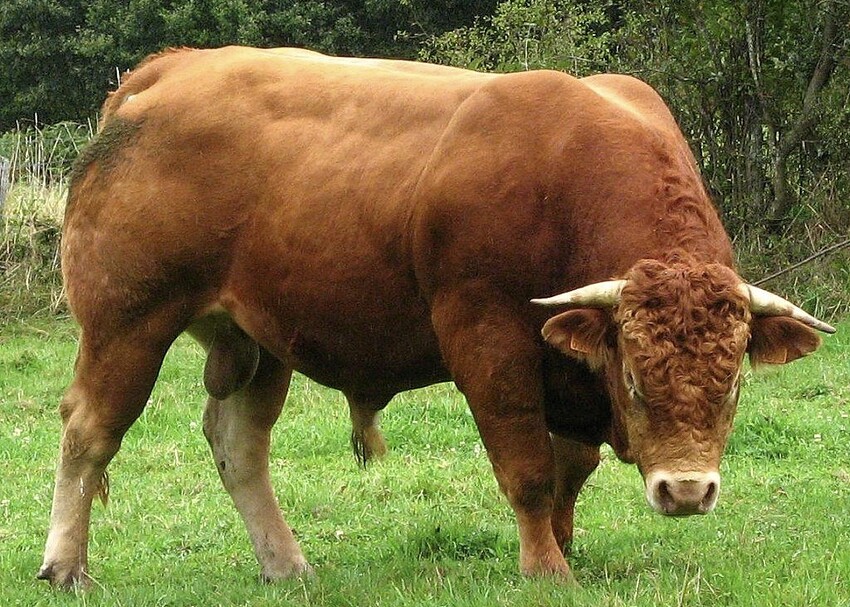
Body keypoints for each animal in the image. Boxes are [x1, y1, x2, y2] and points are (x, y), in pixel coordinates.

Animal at [39, 46, 834, 588]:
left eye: (733, 384)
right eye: (637, 380)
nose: (688, 491)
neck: (567, 181)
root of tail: (169, 71)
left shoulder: (568, 365)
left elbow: (571, 467)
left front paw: (565, 544)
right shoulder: (488, 341)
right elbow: (529, 467)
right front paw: (545, 568)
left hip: (258, 340)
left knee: (238, 445)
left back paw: (287, 565)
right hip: (126, 323)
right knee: (88, 431)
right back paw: (65, 564)